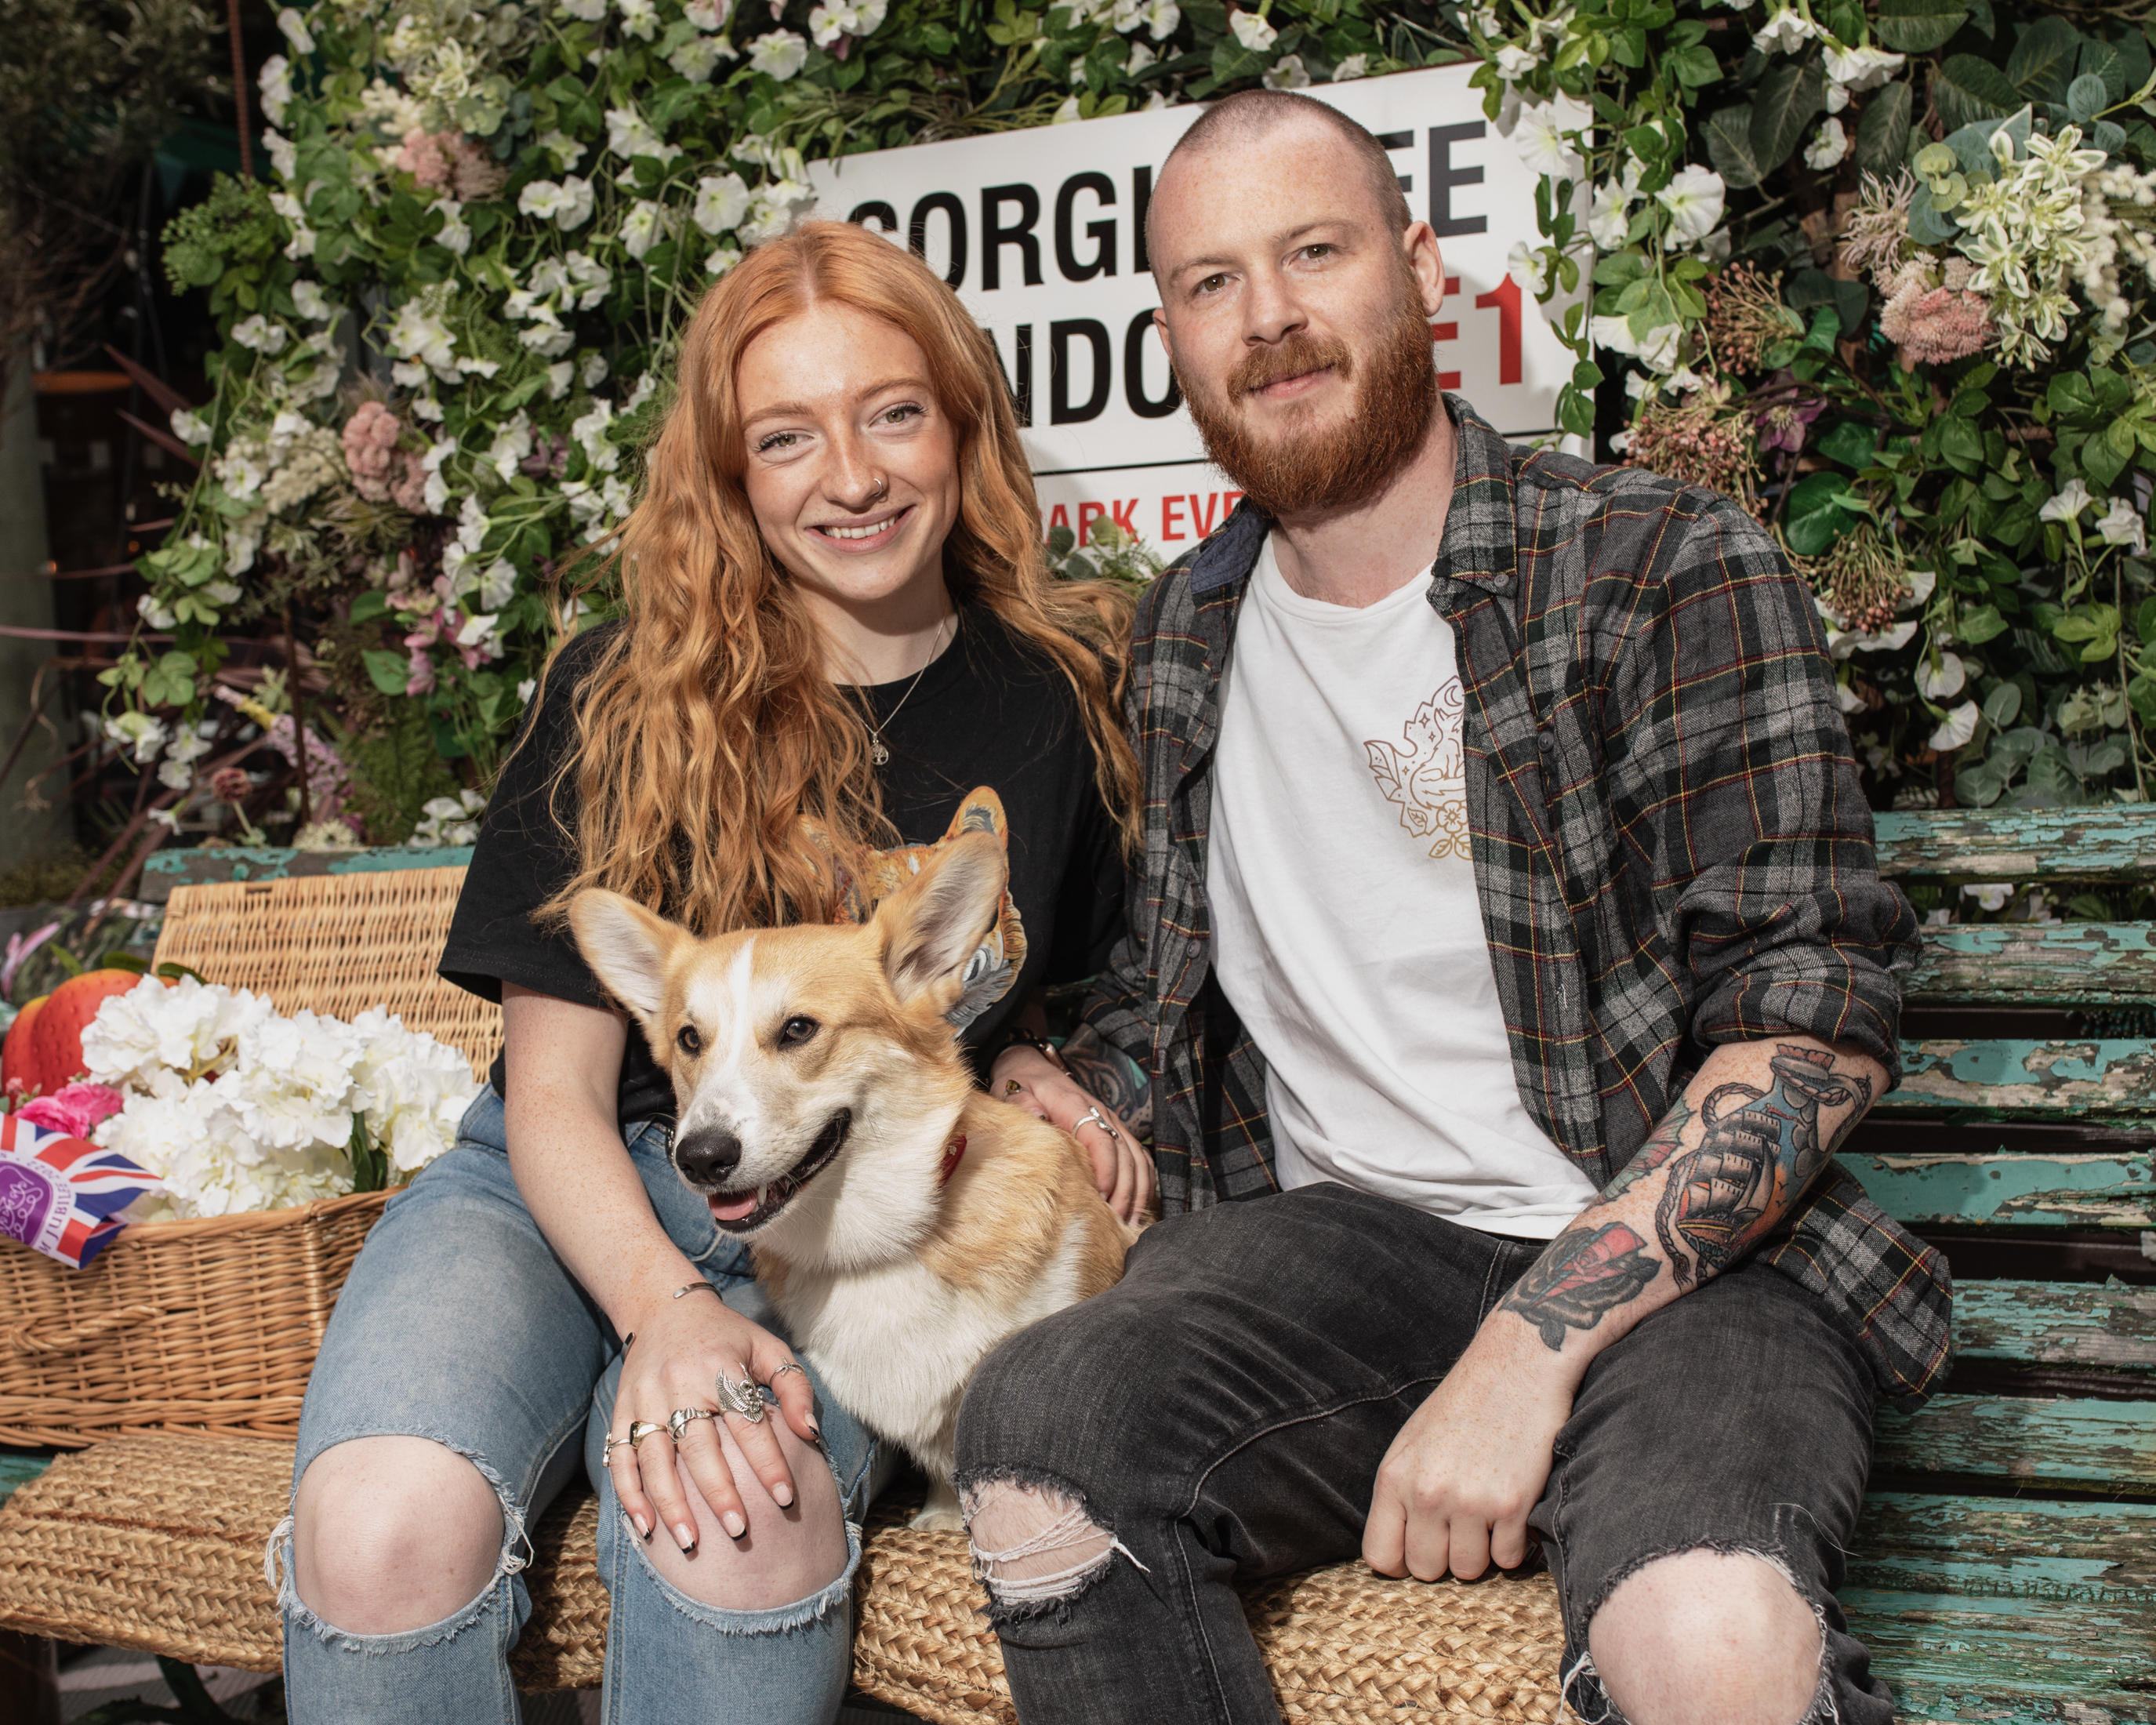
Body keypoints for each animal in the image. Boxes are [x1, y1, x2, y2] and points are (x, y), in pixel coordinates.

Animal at [573, 828, 1147, 1527]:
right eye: (688, 1039)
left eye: (798, 1029)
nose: (700, 1159)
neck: (878, 1244)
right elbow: (945, 1471)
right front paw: (942, 1516)